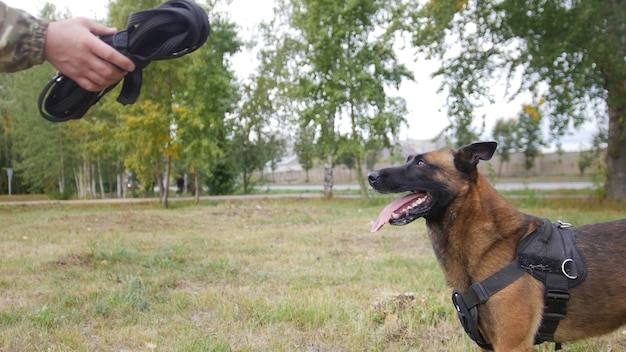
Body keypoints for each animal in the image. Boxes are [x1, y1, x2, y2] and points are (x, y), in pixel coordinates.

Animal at [366, 142, 624, 350]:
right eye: (408, 160)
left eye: (421, 163)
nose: (371, 176)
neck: (492, 243)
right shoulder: (487, 344)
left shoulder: (512, 344)